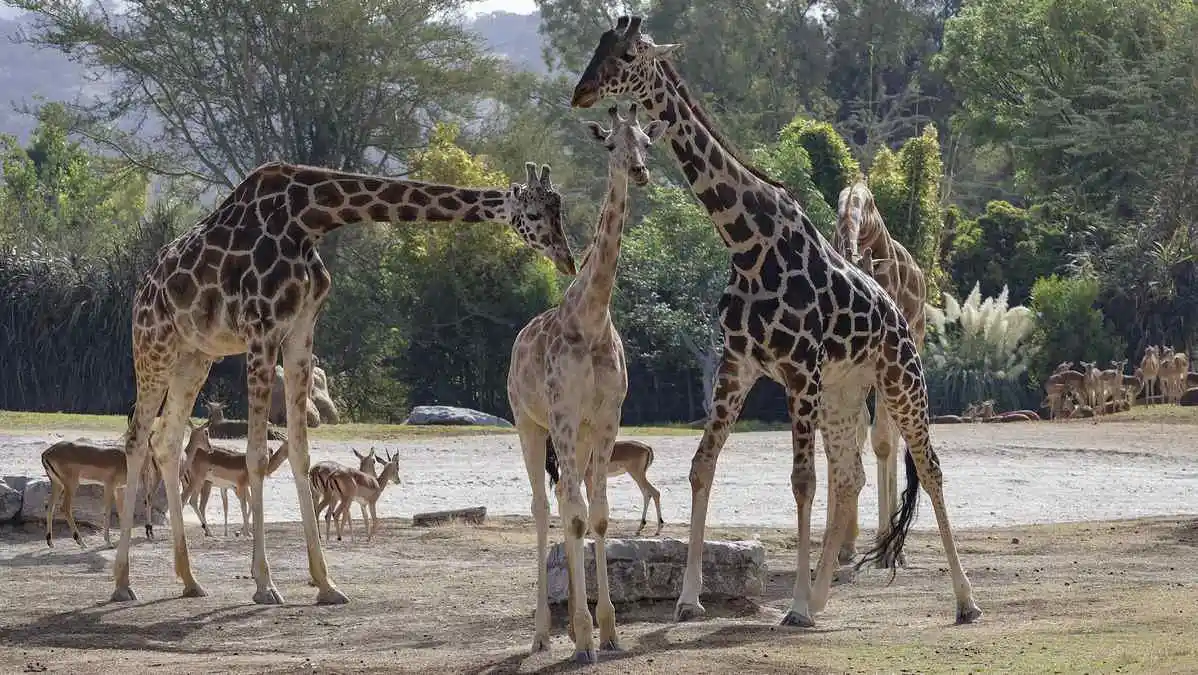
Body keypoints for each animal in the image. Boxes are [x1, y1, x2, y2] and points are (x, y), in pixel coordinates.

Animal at [112, 160, 575, 604]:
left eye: (560, 209)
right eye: (535, 214)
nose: (567, 260)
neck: (309, 219)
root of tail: (142, 287)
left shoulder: (300, 329)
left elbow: (299, 452)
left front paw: (326, 584)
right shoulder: (261, 329)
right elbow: (257, 456)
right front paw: (265, 585)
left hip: (196, 354)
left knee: (166, 441)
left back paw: (190, 580)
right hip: (153, 343)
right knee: (136, 438)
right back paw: (122, 583)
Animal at [507, 103, 675, 661]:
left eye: (647, 140)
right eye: (611, 144)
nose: (640, 171)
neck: (593, 316)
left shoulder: (605, 418)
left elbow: (598, 516)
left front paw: (609, 630)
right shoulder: (561, 414)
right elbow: (575, 517)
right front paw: (581, 638)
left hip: (575, 436)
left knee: (570, 502)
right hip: (528, 423)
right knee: (545, 509)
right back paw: (540, 633)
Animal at [572, 14, 982, 628]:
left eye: (626, 55)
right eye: (599, 46)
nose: (580, 92)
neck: (745, 242)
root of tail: (897, 317)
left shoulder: (798, 369)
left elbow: (801, 480)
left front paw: (792, 606)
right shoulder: (737, 365)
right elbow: (701, 467)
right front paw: (689, 598)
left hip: (900, 378)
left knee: (928, 467)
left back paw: (964, 600)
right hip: (843, 391)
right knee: (850, 475)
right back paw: (822, 596)